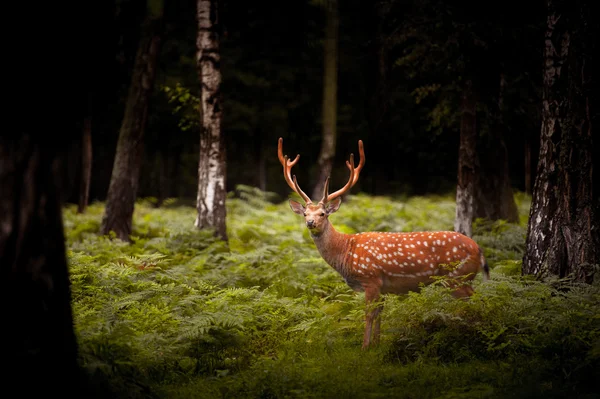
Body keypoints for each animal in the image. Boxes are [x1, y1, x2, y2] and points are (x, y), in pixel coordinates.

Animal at [278, 138, 490, 350]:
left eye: (322, 214)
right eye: (305, 213)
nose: (310, 222)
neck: (346, 251)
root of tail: (478, 250)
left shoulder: (370, 278)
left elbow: (369, 314)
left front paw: (364, 347)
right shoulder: (382, 286)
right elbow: (380, 314)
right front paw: (376, 345)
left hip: (458, 276)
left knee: (476, 302)